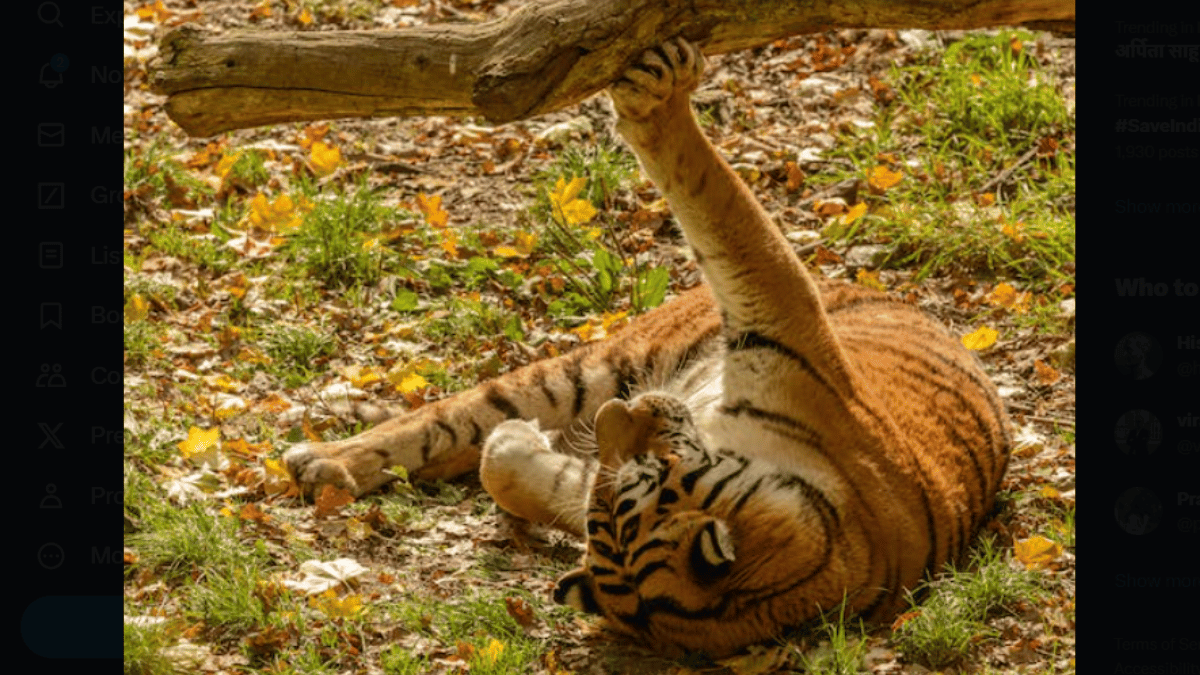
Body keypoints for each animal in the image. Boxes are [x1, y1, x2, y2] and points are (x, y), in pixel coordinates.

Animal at [284, 37, 1011, 657]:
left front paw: (519, 446)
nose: (629, 410)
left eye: (648, 475)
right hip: (596, 367)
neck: (839, 529)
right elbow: (723, 204)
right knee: (446, 417)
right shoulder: (776, 314)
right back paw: (323, 460)